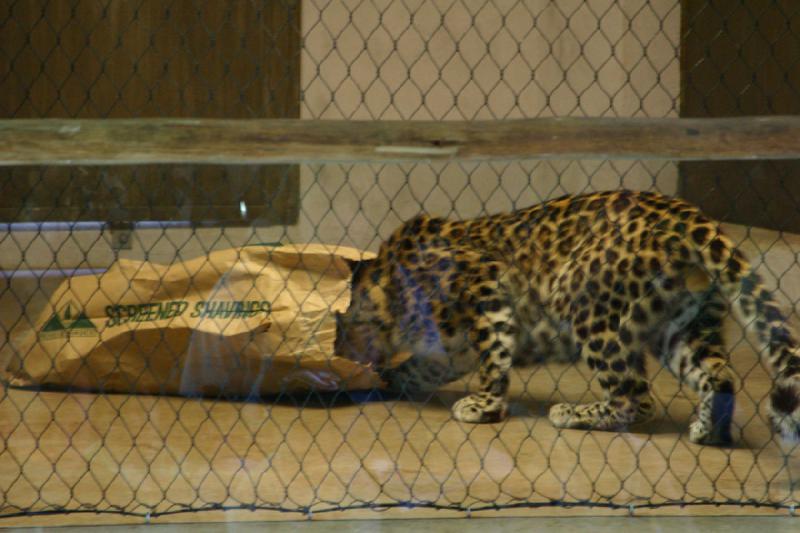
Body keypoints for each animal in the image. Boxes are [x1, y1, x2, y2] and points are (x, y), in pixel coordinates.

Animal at [334, 187, 800, 444]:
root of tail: (691, 216)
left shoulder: (483, 281)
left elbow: (493, 357)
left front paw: (485, 405)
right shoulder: (447, 351)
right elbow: (419, 368)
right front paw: (384, 381)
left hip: (587, 304)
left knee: (636, 396)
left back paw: (575, 414)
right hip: (685, 325)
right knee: (719, 376)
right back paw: (708, 432)